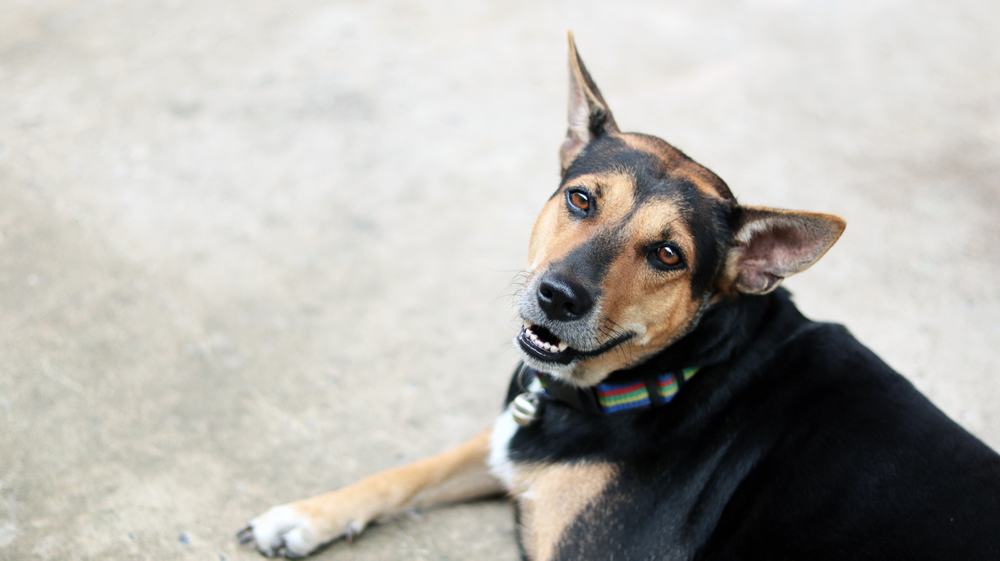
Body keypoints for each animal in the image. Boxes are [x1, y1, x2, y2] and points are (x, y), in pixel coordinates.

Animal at [236, 35, 1000, 560]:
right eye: (581, 198)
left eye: (667, 254)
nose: (558, 296)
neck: (670, 377)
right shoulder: (513, 435)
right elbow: (412, 469)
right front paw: (303, 515)